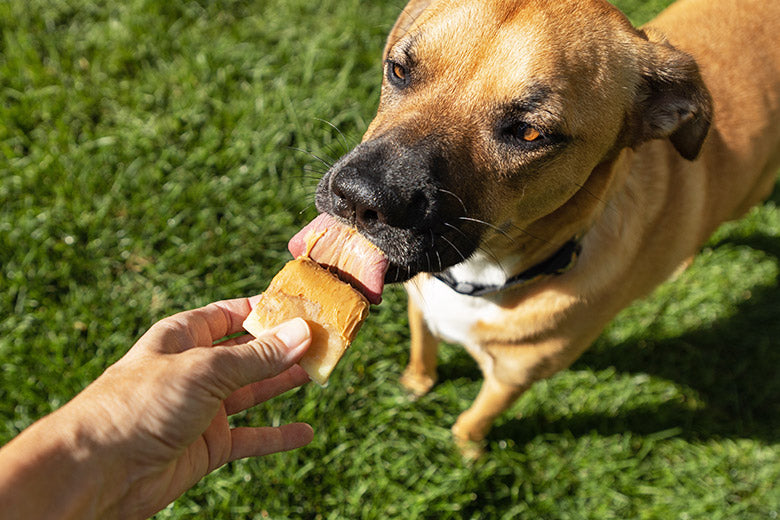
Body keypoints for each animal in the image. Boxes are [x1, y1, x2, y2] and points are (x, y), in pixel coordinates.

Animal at [312, 0, 780, 456]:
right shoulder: (421, 312)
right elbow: (422, 352)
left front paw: (467, 452)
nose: (359, 198)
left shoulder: (512, 379)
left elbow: (474, 420)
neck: (484, 277)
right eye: (399, 70)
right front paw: (415, 384)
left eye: (529, 133)